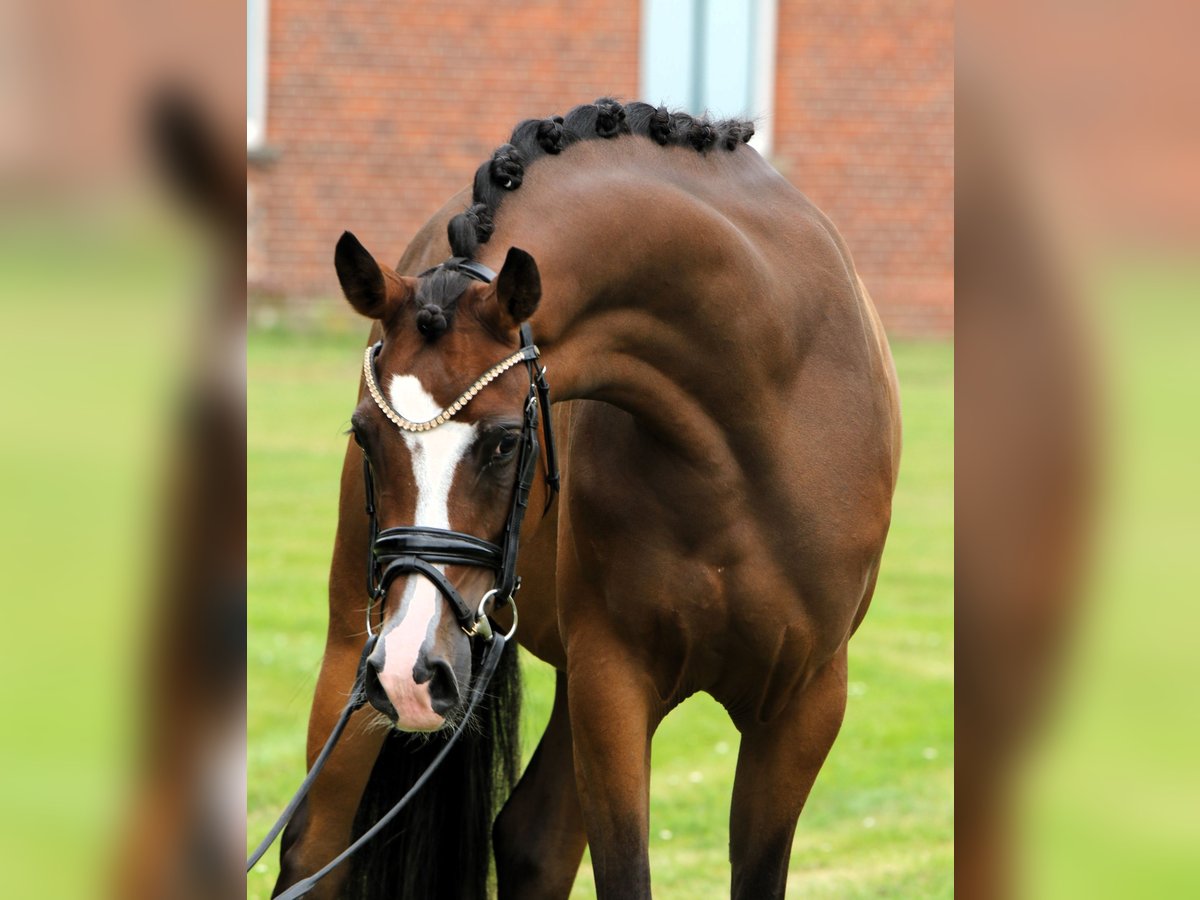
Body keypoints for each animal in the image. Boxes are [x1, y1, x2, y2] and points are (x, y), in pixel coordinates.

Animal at [272, 98, 902, 900]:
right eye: (364, 434)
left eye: (506, 441)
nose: (409, 668)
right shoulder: (613, 682)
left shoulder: (805, 704)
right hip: (357, 648)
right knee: (317, 851)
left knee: (531, 841)